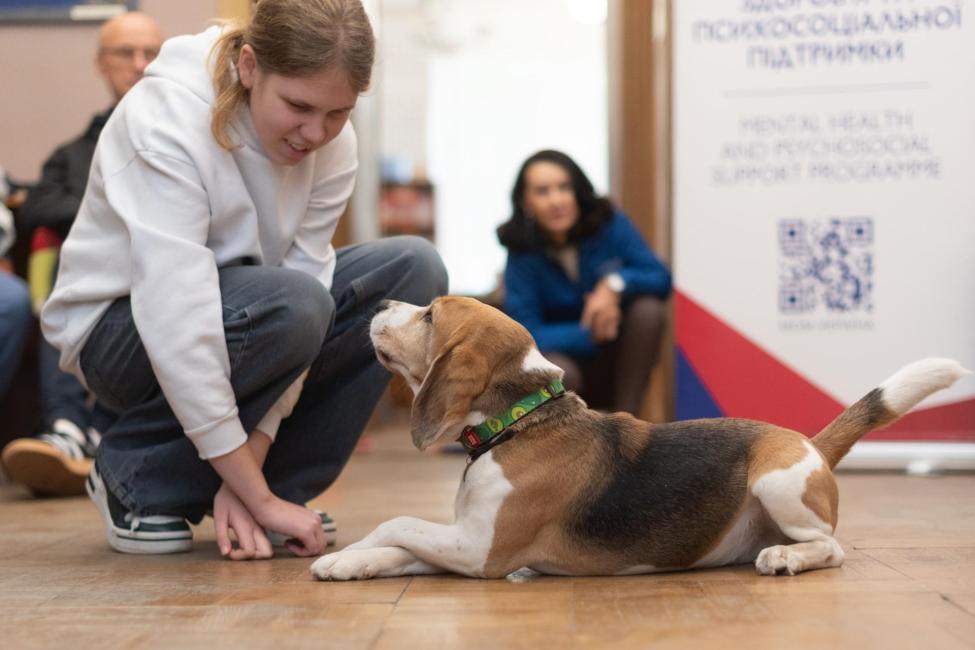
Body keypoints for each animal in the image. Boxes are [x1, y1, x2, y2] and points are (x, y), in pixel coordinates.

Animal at [312, 296, 968, 580]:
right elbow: (403, 544)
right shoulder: (462, 542)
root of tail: (808, 442)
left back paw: (787, 556)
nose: (380, 302)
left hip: (777, 482)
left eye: (429, 315)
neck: (518, 422)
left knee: (830, 547)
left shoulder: (482, 552)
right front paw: (352, 562)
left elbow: (398, 522)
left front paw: (350, 546)